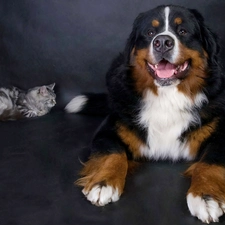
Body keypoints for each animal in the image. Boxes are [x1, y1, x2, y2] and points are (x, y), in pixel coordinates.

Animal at [64, 4, 225, 223]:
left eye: (183, 31)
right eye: (150, 33)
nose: (162, 42)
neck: (167, 97)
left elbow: (210, 162)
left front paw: (207, 197)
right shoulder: (110, 127)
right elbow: (112, 152)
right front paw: (103, 183)